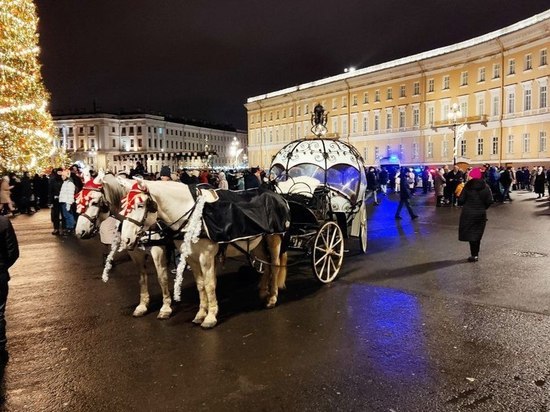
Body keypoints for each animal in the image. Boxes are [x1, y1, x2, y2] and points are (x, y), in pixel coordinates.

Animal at [73, 172, 172, 320]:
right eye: (78, 201)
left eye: (94, 202)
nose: (80, 232)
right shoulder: (135, 253)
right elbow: (142, 278)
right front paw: (142, 306)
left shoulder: (158, 250)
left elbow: (162, 278)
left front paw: (166, 307)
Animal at [118, 180, 292, 328]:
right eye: (123, 204)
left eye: (140, 205)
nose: (126, 239)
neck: (193, 216)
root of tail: (277, 196)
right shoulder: (191, 258)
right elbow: (201, 285)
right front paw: (201, 313)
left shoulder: (206, 257)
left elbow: (209, 285)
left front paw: (210, 316)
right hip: (257, 243)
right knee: (266, 265)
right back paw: (263, 291)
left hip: (274, 238)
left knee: (274, 266)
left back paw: (272, 297)